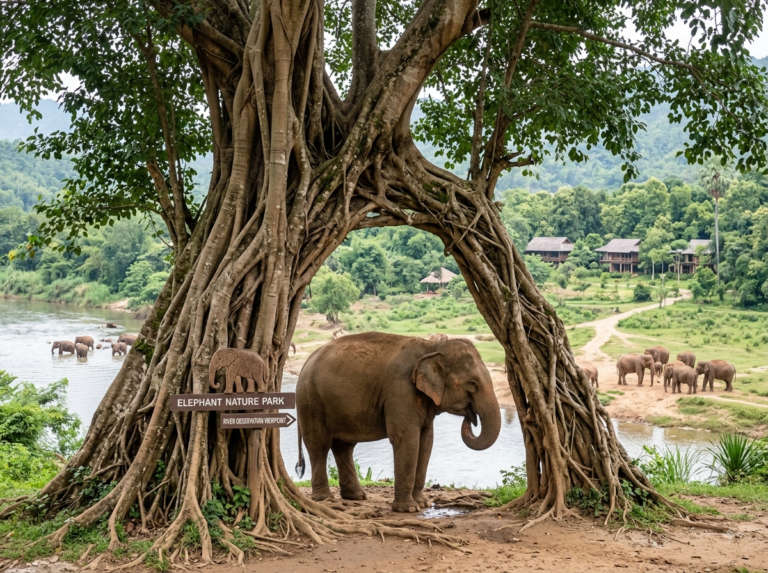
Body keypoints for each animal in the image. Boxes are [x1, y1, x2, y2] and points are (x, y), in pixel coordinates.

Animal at [295, 332, 501, 513]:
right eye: (472, 384)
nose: (470, 417)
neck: (431, 347)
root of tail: (306, 362)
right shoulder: (400, 390)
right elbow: (407, 439)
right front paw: (408, 509)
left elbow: (427, 441)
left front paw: (422, 504)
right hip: (310, 401)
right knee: (319, 445)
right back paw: (324, 498)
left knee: (343, 447)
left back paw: (356, 497)